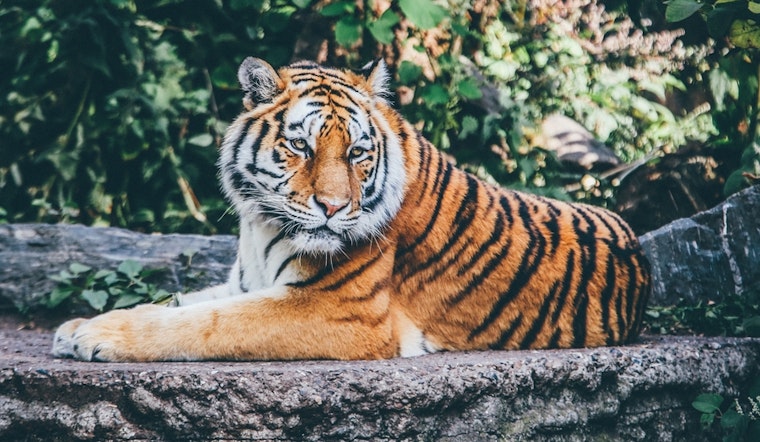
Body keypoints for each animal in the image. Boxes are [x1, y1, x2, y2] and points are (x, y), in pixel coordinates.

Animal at [52, 57, 651, 362]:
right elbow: (179, 302)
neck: (259, 224)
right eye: (301, 146)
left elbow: (205, 323)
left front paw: (96, 337)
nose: (334, 207)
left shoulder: (338, 310)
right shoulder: (245, 281)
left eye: (358, 153)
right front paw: (78, 325)